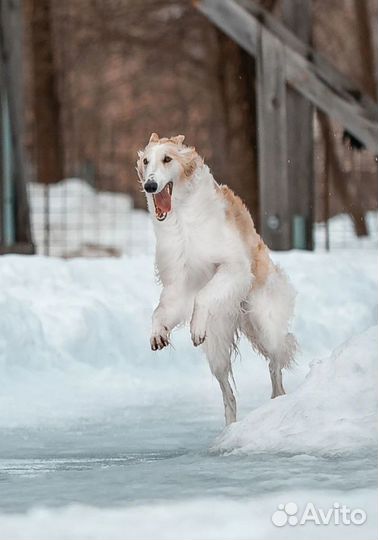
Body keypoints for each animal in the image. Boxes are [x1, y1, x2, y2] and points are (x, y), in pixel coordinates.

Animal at [137, 133, 296, 424]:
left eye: (167, 159)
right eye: (146, 161)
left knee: (275, 367)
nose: (150, 185)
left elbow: (203, 295)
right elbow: (160, 311)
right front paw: (158, 333)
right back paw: (229, 428)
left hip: (264, 323)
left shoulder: (233, 267)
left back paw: (277, 403)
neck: (182, 219)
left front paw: (195, 327)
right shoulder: (178, 285)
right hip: (218, 350)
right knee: (229, 395)